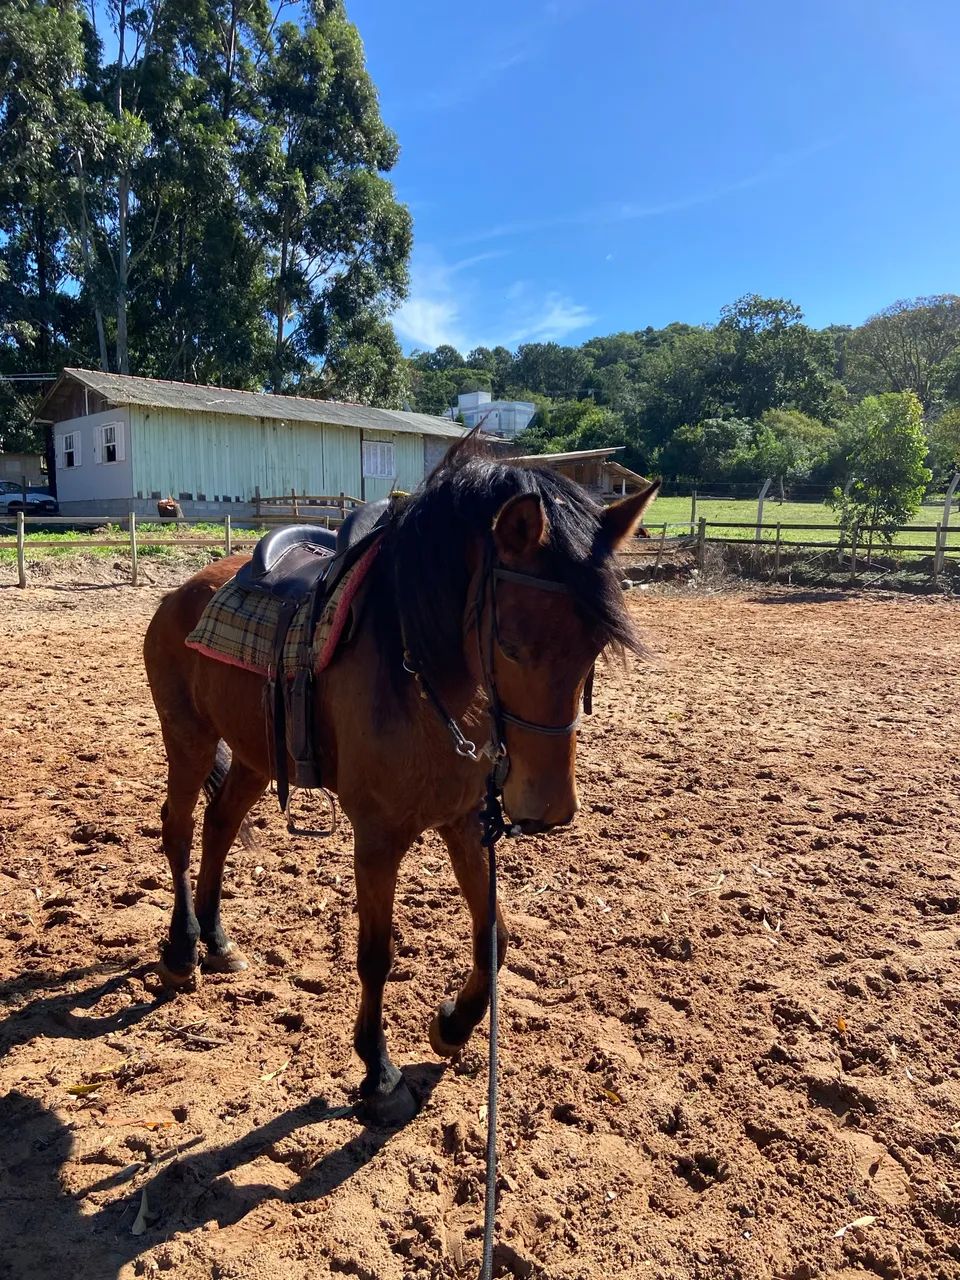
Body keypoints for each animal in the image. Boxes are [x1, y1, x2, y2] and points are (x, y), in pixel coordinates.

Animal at [143, 440, 660, 1126]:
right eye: (509, 643)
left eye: (597, 643)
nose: (546, 808)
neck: (423, 681)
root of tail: (181, 594)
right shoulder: (378, 838)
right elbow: (376, 955)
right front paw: (379, 1074)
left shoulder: (466, 822)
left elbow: (494, 936)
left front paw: (453, 1026)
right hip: (189, 740)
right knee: (177, 830)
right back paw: (181, 952)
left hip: (253, 758)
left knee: (219, 828)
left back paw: (219, 943)